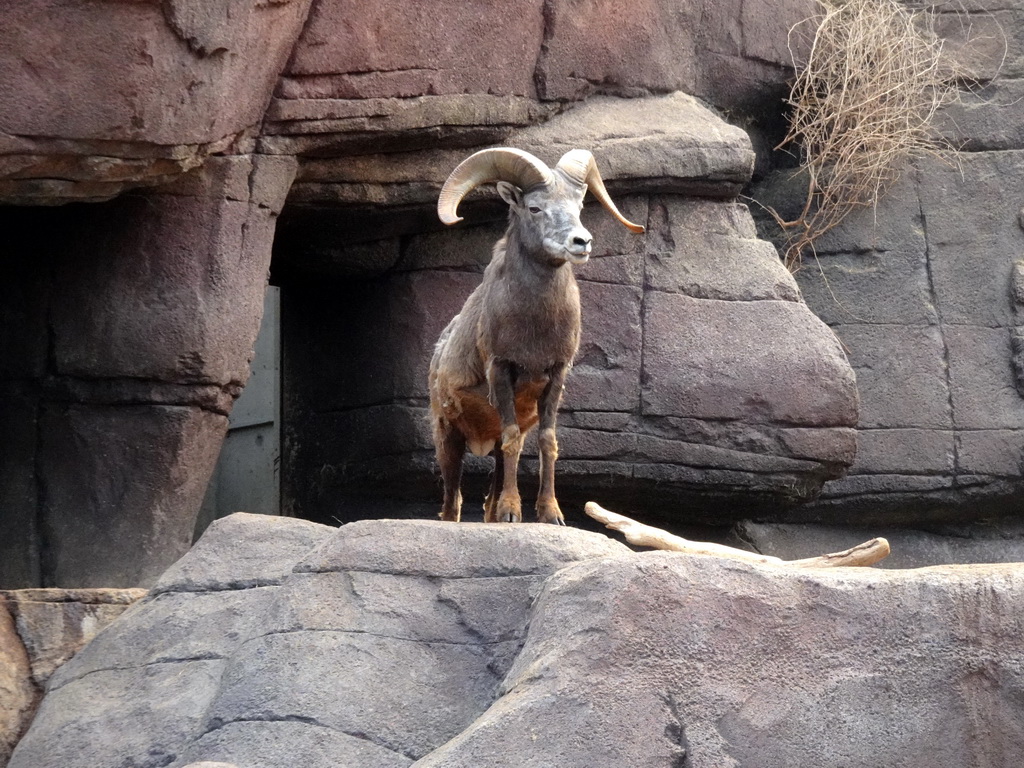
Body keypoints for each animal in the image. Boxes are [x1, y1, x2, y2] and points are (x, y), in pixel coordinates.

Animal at [428, 147, 643, 528]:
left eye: (578, 206)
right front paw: (513, 513)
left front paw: (550, 515)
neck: (535, 329)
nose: (581, 242)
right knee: (452, 502)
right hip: (448, 437)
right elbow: (514, 439)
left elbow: (548, 442)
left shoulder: (555, 375)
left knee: (489, 493)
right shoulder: (501, 370)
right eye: (534, 208)